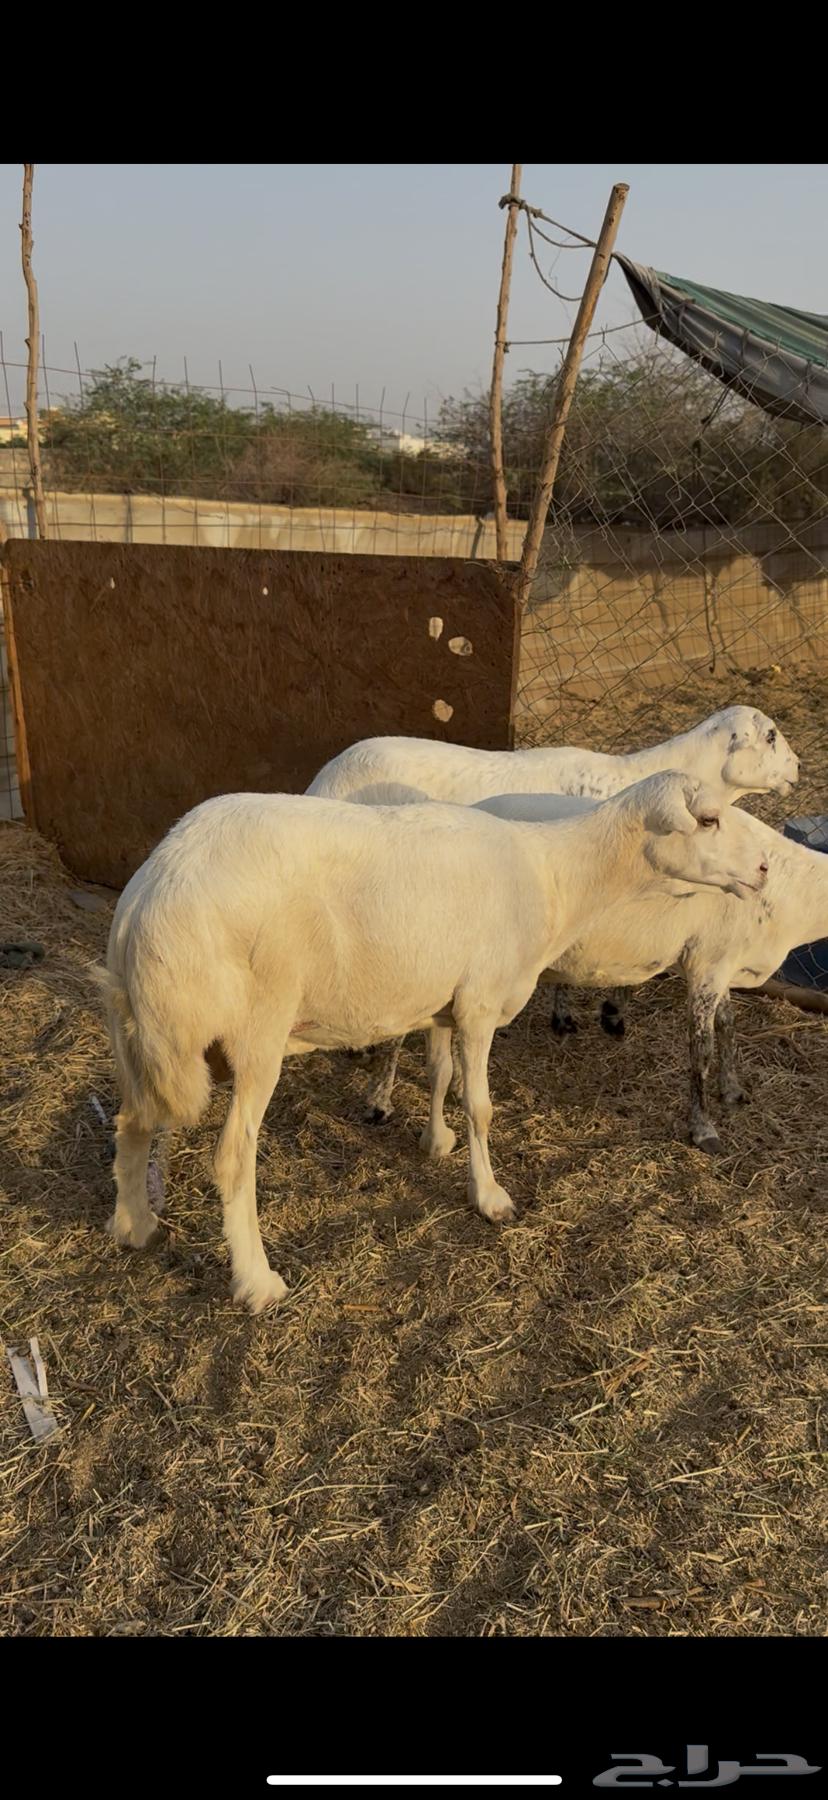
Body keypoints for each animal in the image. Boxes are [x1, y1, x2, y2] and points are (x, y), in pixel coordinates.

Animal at [95, 773, 769, 1313]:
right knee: (232, 1157)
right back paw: (258, 1282)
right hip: (255, 1031)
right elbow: (482, 1106)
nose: (764, 868)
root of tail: (148, 900)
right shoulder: (479, 1002)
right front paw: (490, 1197)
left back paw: (136, 1226)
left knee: (131, 1122)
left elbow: (441, 1075)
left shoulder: (446, 1004)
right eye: (707, 820)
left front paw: (436, 1142)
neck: (554, 878)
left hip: (135, 1031)